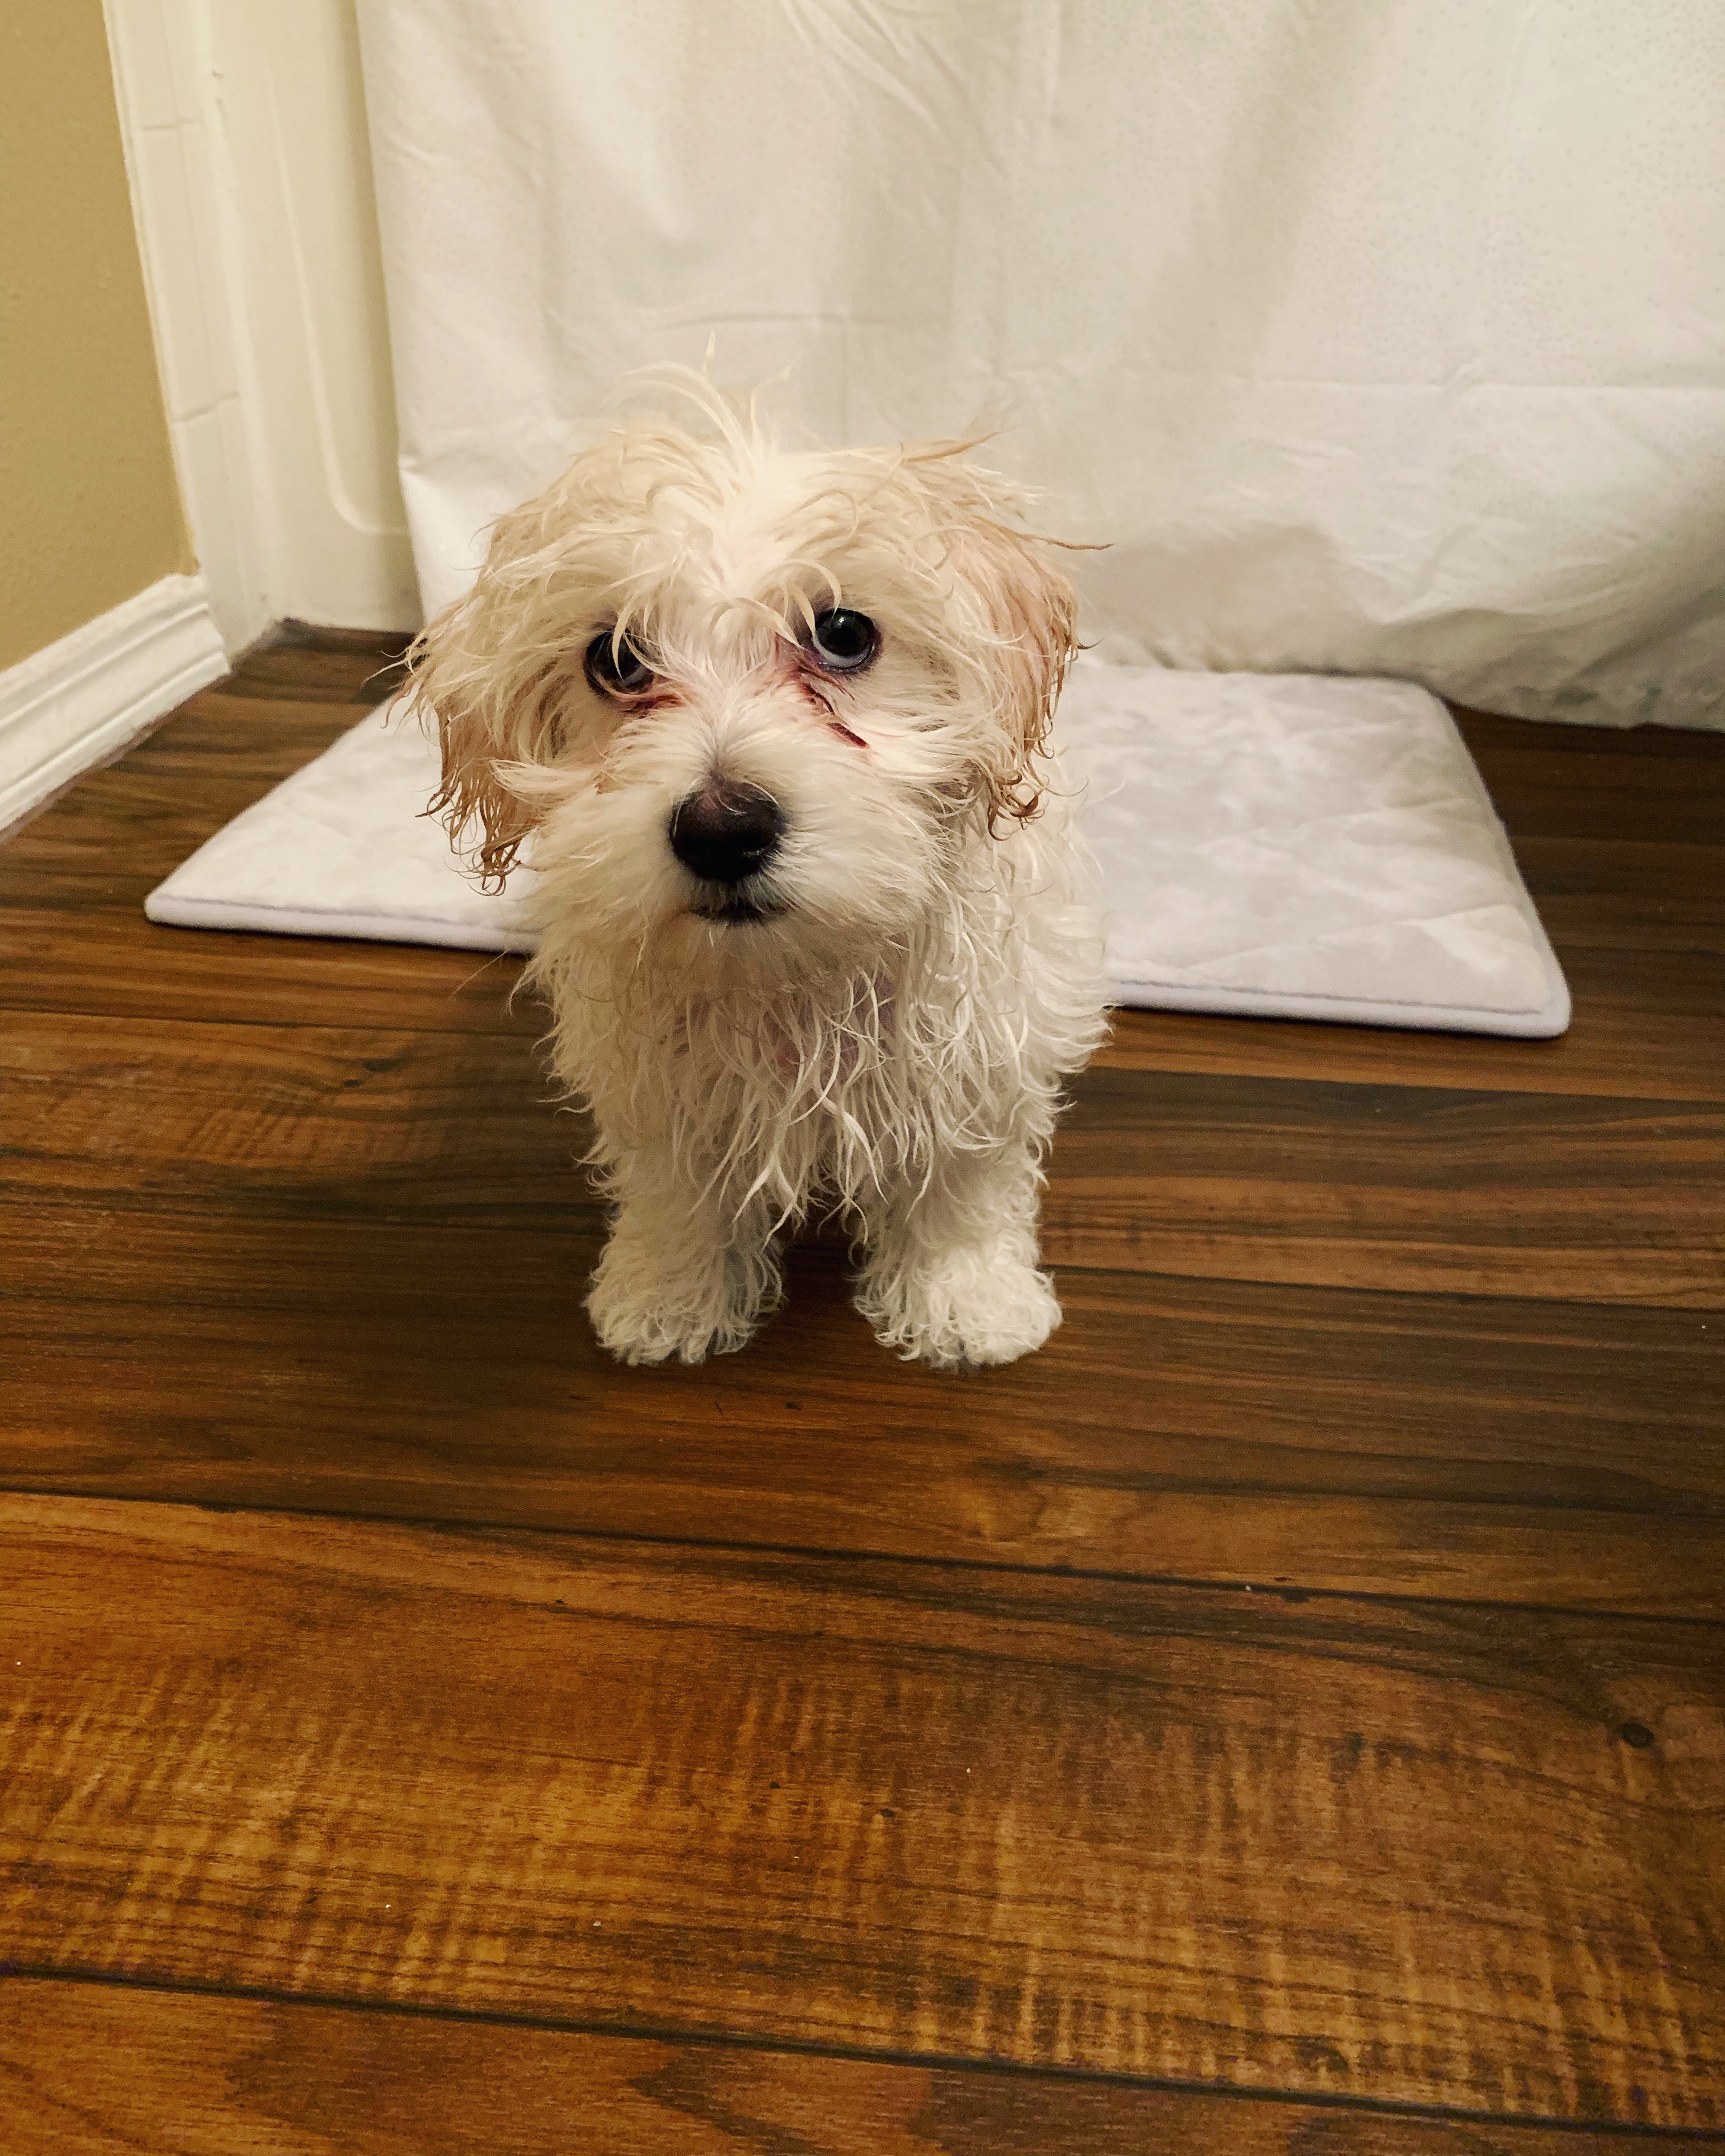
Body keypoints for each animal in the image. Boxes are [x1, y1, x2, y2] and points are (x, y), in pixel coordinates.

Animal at [409, 374, 1106, 1369]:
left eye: (844, 633)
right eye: (615, 659)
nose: (722, 828)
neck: (787, 981)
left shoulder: (979, 1054)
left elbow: (959, 1184)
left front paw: (965, 1300)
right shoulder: (655, 1085)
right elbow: (676, 1194)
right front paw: (671, 1296)